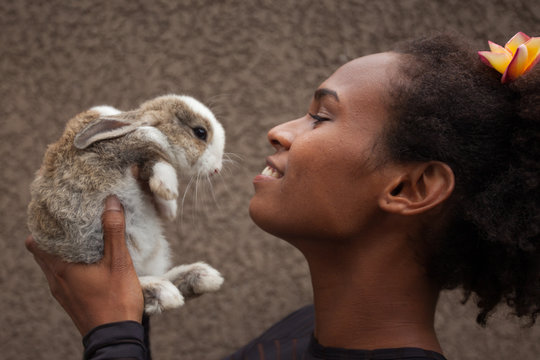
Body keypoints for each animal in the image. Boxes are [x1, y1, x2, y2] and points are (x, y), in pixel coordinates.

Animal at [26, 94, 226, 314]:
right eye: (200, 132)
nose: (217, 169)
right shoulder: (122, 147)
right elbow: (153, 147)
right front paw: (169, 188)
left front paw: (169, 207)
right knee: (138, 286)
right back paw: (163, 291)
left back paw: (200, 277)